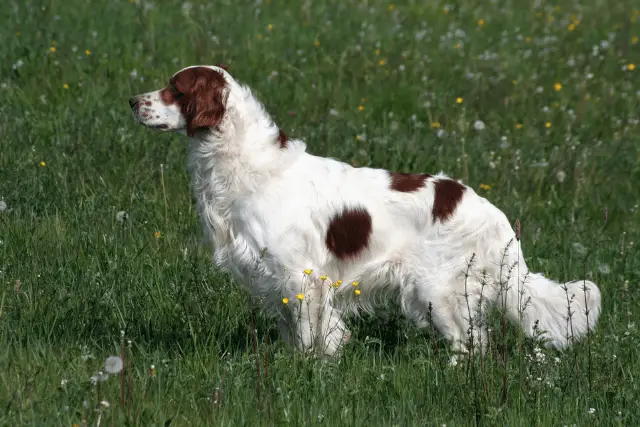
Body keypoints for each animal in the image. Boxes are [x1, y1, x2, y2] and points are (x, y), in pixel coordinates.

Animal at [129, 64, 600, 358]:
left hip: (438, 293)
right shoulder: (277, 280)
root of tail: (497, 218)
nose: (133, 101)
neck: (245, 165)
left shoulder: (300, 276)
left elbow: (309, 337)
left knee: (470, 346)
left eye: (176, 89)